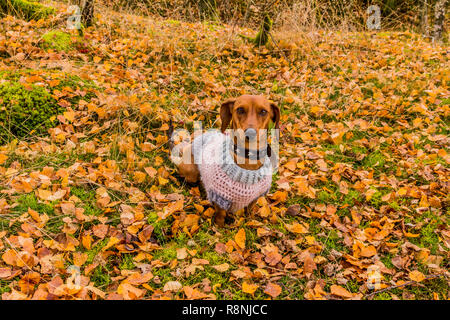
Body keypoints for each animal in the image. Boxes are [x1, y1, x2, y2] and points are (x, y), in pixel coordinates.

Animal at [171, 94, 278, 226]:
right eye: (240, 109)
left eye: (263, 111)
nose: (250, 133)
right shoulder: (220, 199)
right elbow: (220, 215)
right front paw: (220, 227)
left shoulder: (256, 197)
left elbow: (249, 209)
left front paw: (250, 220)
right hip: (191, 172)